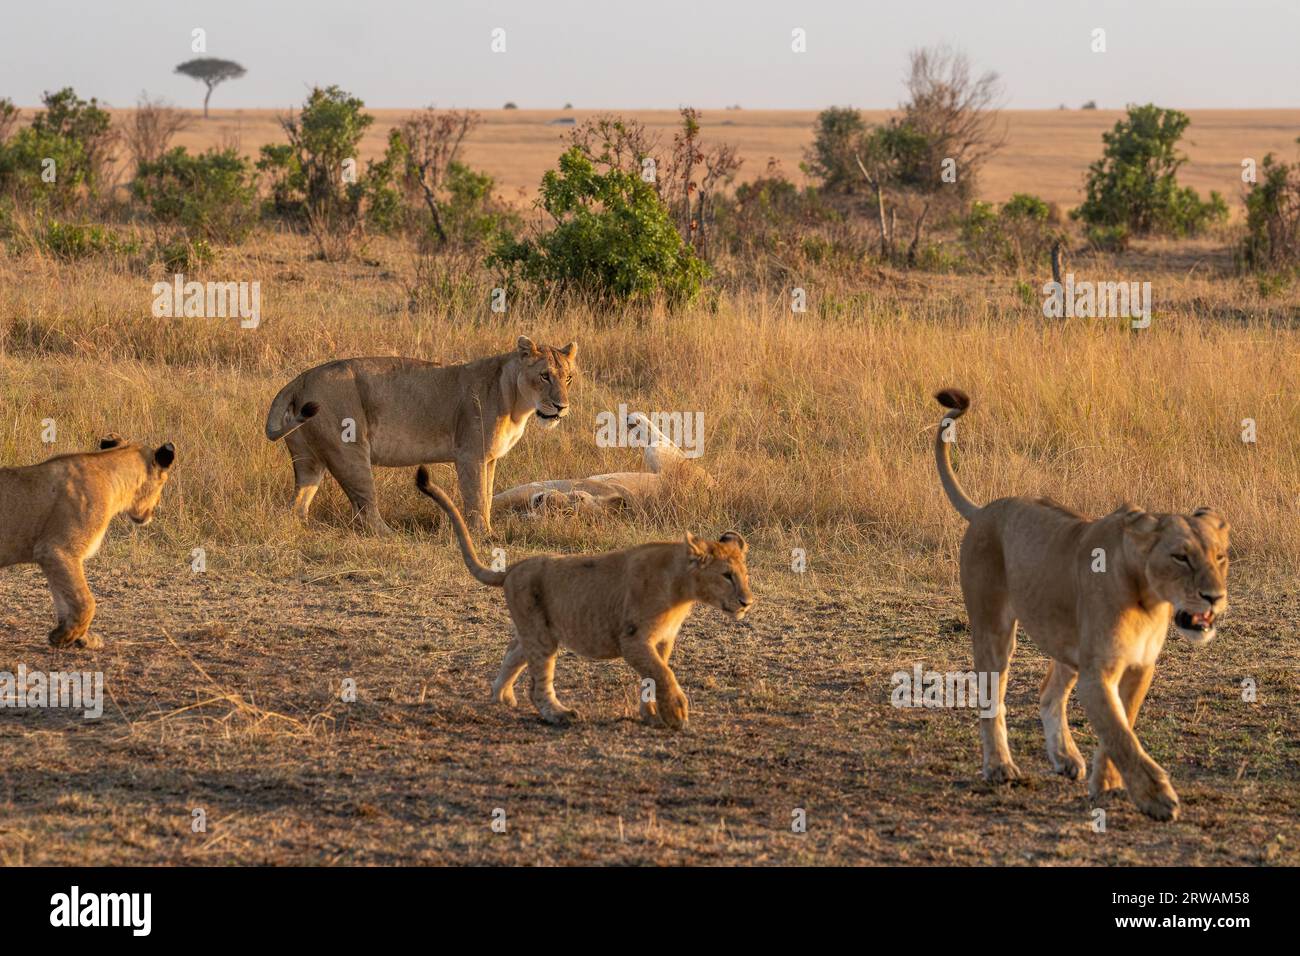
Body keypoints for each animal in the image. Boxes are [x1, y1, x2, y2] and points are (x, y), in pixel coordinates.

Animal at [0, 436, 176, 649]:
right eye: (163, 481)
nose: (154, 509)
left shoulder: (54, 559)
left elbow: (66, 601)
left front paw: (83, 638)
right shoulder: (56, 550)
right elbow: (86, 602)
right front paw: (64, 636)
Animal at [265, 336, 576, 534]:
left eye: (569, 377)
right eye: (545, 376)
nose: (562, 407)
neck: (516, 404)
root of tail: (299, 379)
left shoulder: (489, 459)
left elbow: (487, 496)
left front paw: (486, 530)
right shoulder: (470, 456)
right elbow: (476, 498)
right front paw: (483, 536)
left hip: (308, 459)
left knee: (297, 506)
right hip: (350, 451)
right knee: (365, 511)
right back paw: (391, 537)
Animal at [414, 465, 753, 729]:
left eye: (741, 574)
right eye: (727, 575)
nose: (746, 602)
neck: (682, 589)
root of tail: (513, 568)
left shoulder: (660, 641)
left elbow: (653, 676)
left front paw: (653, 713)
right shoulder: (632, 639)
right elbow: (662, 673)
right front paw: (677, 713)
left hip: (538, 630)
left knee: (514, 654)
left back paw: (504, 697)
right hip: (541, 631)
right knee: (538, 684)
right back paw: (559, 714)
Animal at [933, 388, 1229, 820]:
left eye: (1220, 556)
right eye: (1181, 557)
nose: (1215, 597)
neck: (1149, 600)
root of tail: (986, 509)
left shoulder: (1138, 667)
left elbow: (1121, 727)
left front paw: (1106, 783)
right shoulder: (1096, 672)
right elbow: (1120, 734)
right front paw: (1156, 797)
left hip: (1068, 645)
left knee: (1047, 693)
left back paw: (1065, 757)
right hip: (994, 629)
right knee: (993, 696)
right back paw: (1001, 767)